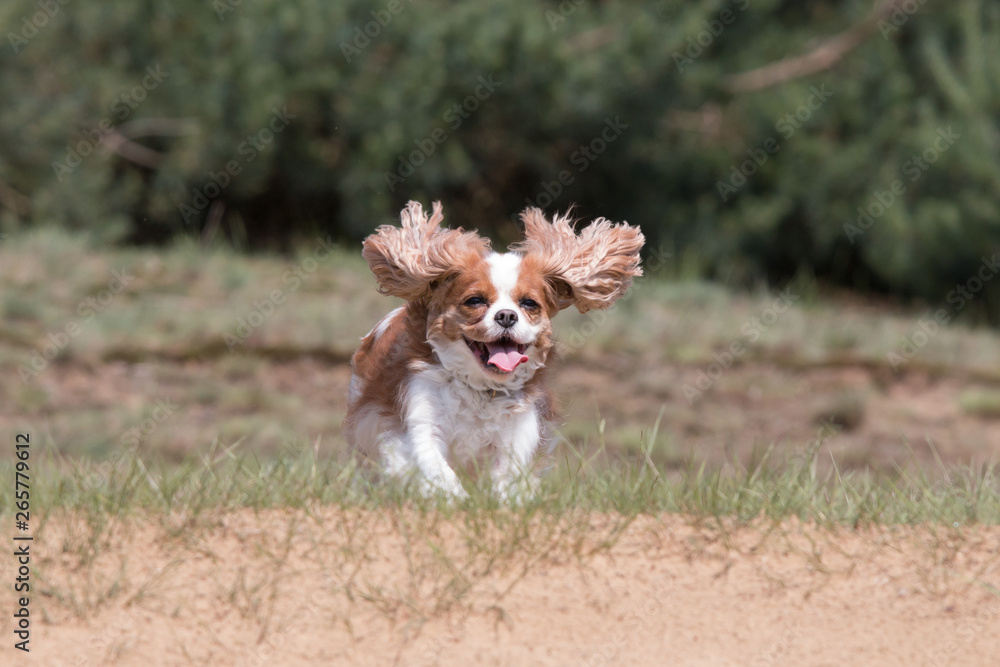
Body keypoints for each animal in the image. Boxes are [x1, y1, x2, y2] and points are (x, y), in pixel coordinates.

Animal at [342, 201, 640, 498]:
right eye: (475, 301)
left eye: (529, 304)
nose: (506, 315)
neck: (481, 388)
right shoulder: (420, 417)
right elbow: (434, 467)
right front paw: (457, 499)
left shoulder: (517, 431)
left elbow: (508, 476)